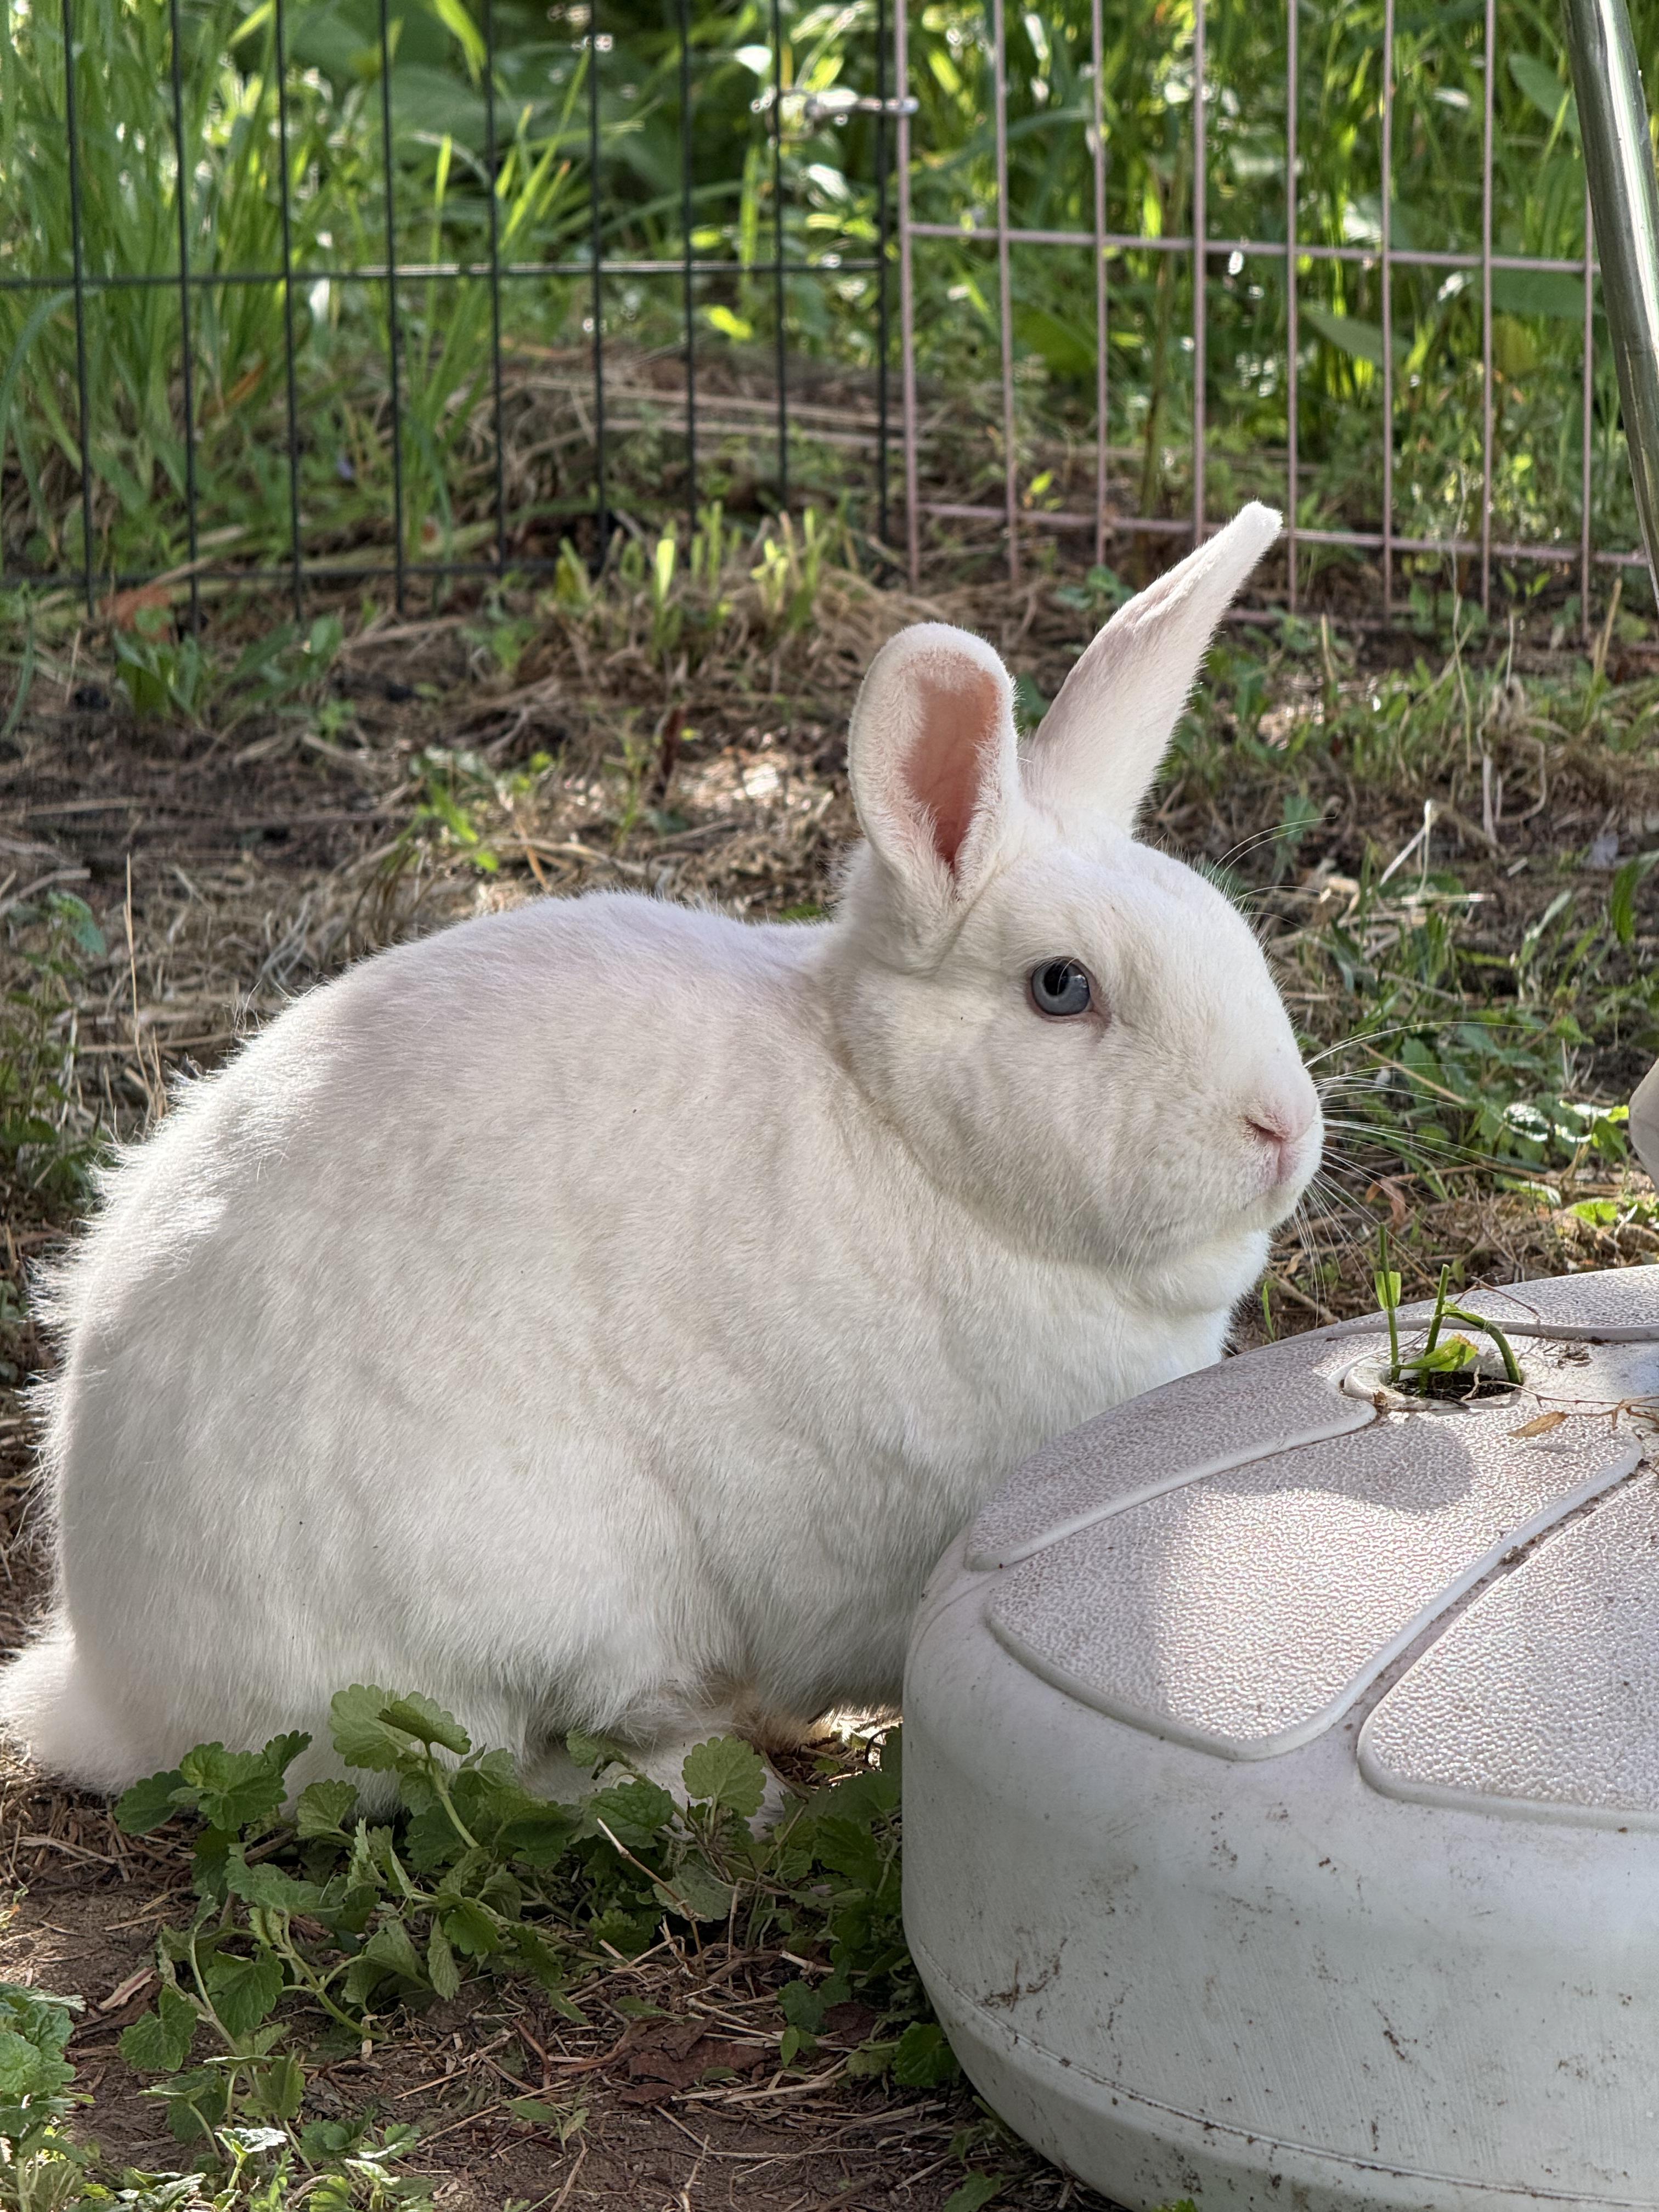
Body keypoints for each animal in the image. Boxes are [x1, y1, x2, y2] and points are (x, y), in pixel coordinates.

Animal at [0, 501, 1320, 1807]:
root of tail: (112, 1689)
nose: (1285, 1130)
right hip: (518, 1615)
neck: (903, 1136)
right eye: (1060, 988)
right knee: (515, 1766)